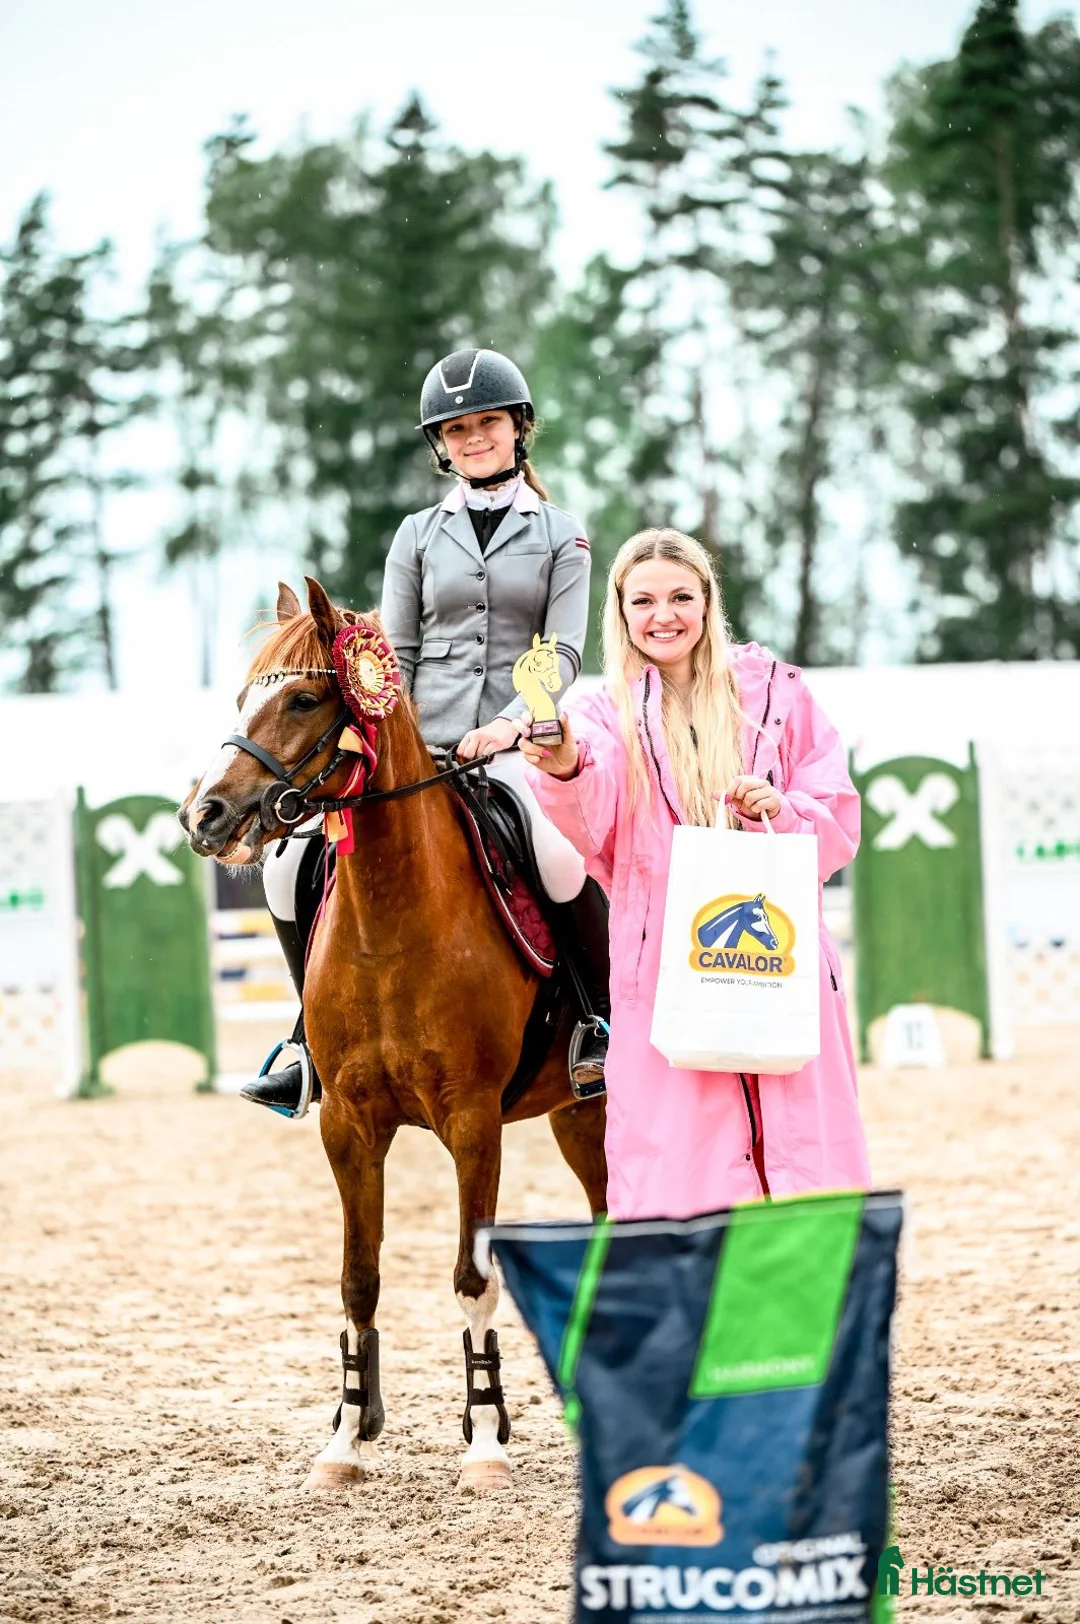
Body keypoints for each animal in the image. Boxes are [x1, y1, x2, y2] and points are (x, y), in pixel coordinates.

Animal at [179, 578, 608, 1493]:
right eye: (242, 698)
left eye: (304, 699)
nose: (207, 815)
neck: (390, 920)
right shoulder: (348, 1124)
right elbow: (358, 1279)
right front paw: (348, 1433)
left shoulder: (474, 1124)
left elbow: (471, 1278)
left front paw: (485, 1438)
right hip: (574, 1113)